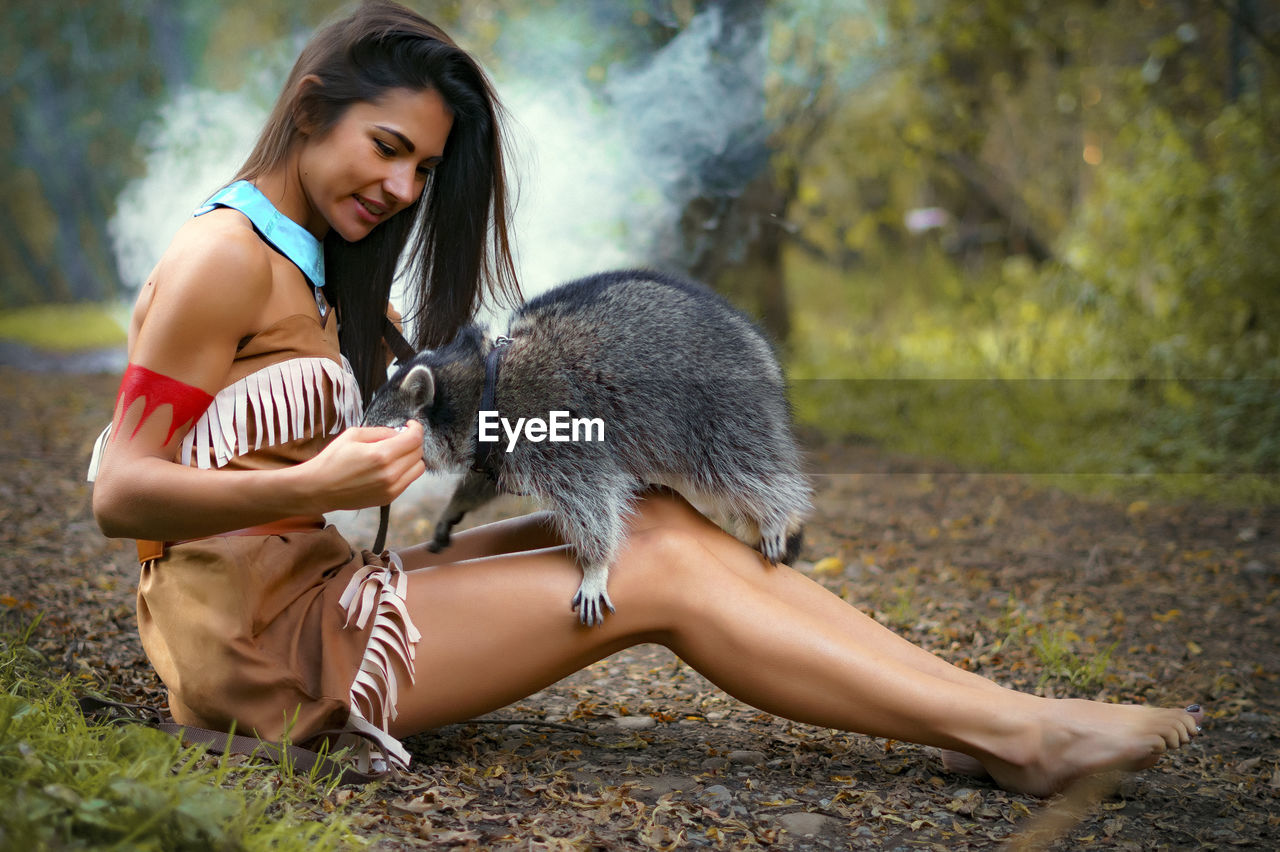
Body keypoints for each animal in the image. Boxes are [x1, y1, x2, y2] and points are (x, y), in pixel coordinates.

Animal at [363, 268, 808, 621]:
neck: (476, 387)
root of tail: (755, 343)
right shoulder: (500, 448)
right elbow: (489, 478)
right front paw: (458, 503)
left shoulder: (553, 429)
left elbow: (591, 499)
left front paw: (596, 564)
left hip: (720, 407)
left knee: (737, 464)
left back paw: (776, 511)